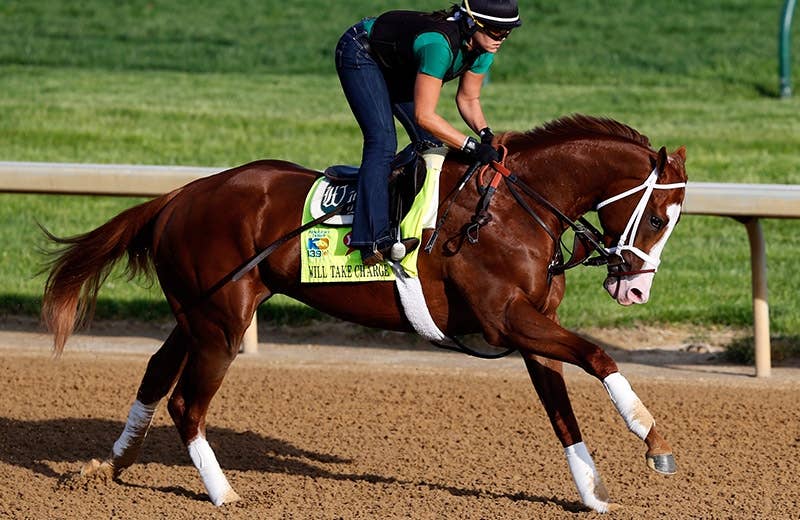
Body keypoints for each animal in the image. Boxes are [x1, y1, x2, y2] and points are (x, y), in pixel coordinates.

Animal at [41, 115, 688, 513]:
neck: (513, 207)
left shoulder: (529, 329)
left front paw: (593, 494)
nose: (634, 291)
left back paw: (109, 466)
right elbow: (597, 354)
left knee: (156, 373)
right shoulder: (506, 319)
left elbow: (562, 415)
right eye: (659, 218)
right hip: (221, 323)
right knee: (186, 403)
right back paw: (224, 494)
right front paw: (651, 436)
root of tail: (178, 197)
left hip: (197, 313)